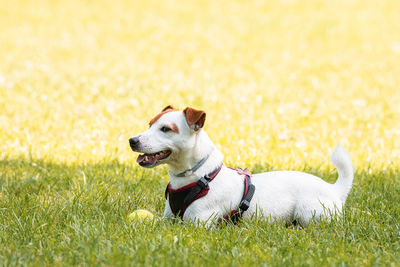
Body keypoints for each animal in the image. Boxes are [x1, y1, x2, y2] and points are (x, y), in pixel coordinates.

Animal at [129, 105, 354, 227]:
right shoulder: (168, 218)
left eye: (166, 129)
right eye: (150, 124)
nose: (132, 140)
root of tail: (334, 189)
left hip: (309, 212)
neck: (200, 176)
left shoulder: (198, 223)